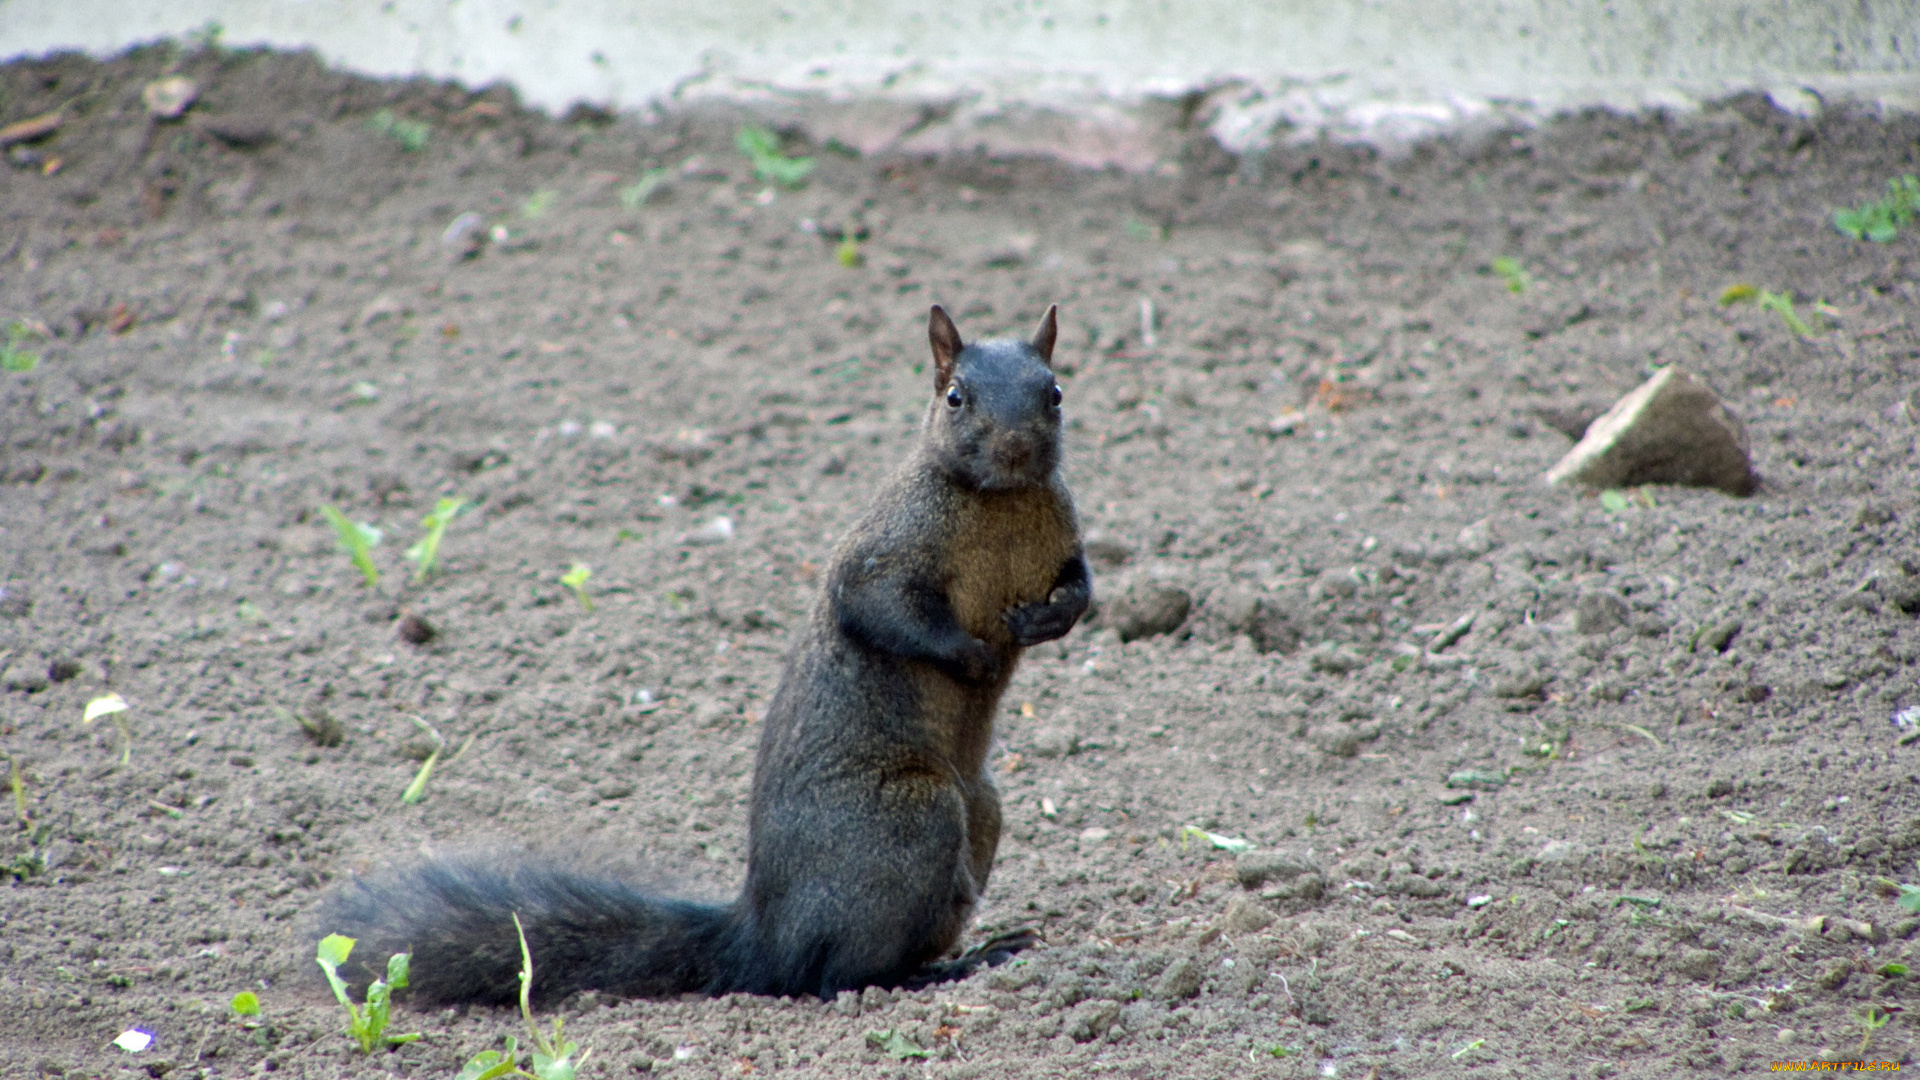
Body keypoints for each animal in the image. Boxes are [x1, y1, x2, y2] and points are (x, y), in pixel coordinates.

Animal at [322, 303, 1090, 999]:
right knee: (840, 976)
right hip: (909, 822)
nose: (1016, 449)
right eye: (955, 397)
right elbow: (880, 609)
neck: (999, 500)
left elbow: (1081, 589)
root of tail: (763, 940)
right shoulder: (883, 552)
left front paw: (1046, 621)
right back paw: (948, 967)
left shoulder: (1063, 543)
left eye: (1055, 392)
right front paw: (974, 657)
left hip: (980, 811)